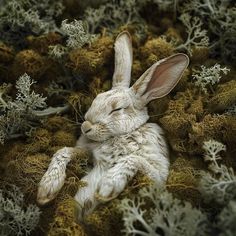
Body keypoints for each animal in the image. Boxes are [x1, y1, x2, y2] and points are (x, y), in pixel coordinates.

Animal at [37, 31, 189, 219]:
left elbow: (133, 159)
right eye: (96, 99)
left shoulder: (160, 176)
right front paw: (46, 190)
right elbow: (63, 151)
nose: (85, 127)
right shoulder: (88, 152)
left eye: (117, 109)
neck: (122, 135)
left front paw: (107, 186)